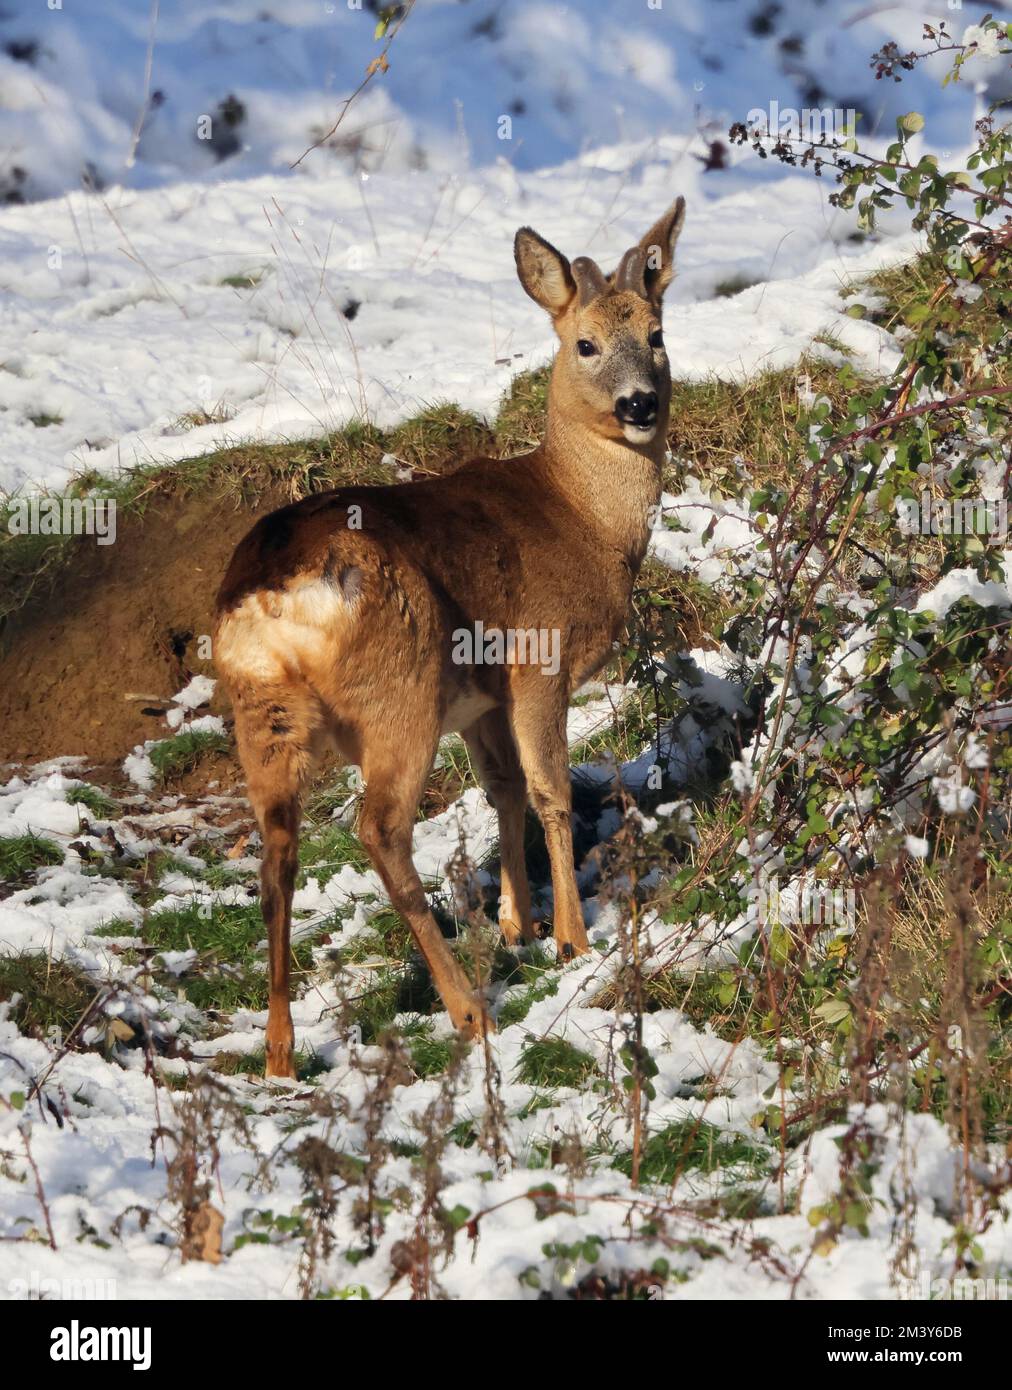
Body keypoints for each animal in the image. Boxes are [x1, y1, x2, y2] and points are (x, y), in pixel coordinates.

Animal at [214, 196, 686, 1078]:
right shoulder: (537, 657)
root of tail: (273, 595)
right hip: (401, 690)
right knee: (379, 830)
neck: (584, 518)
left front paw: (516, 924)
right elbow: (549, 790)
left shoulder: (483, 700)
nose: (640, 404)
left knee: (276, 858)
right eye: (585, 344)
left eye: (658, 333)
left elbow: (503, 789)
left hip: (264, 717)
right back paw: (468, 1010)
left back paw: (280, 1052)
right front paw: (570, 938)